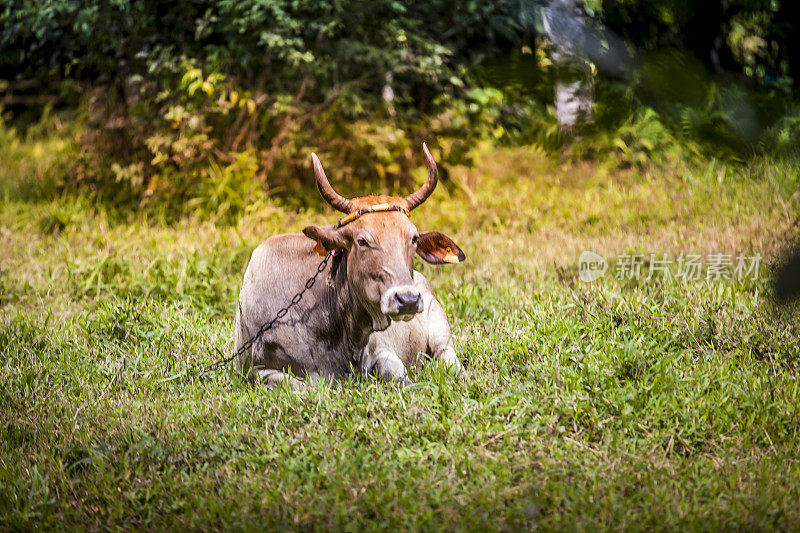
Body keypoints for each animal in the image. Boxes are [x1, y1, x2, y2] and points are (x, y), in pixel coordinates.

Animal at [234, 142, 466, 386]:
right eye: (362, 241)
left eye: (413, 238)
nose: (408, 299)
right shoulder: (259, 371)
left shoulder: (383, 351)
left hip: (440, 329)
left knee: (448, 356)